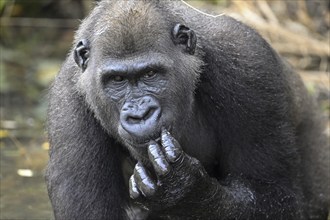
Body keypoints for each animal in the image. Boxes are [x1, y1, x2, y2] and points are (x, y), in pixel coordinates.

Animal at [45, 0, 328, 219]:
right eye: (117, 80)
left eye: (151, 74)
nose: (140, 115)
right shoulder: (67, 100)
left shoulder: (248, 63)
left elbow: (274, 193)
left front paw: (185, 190)